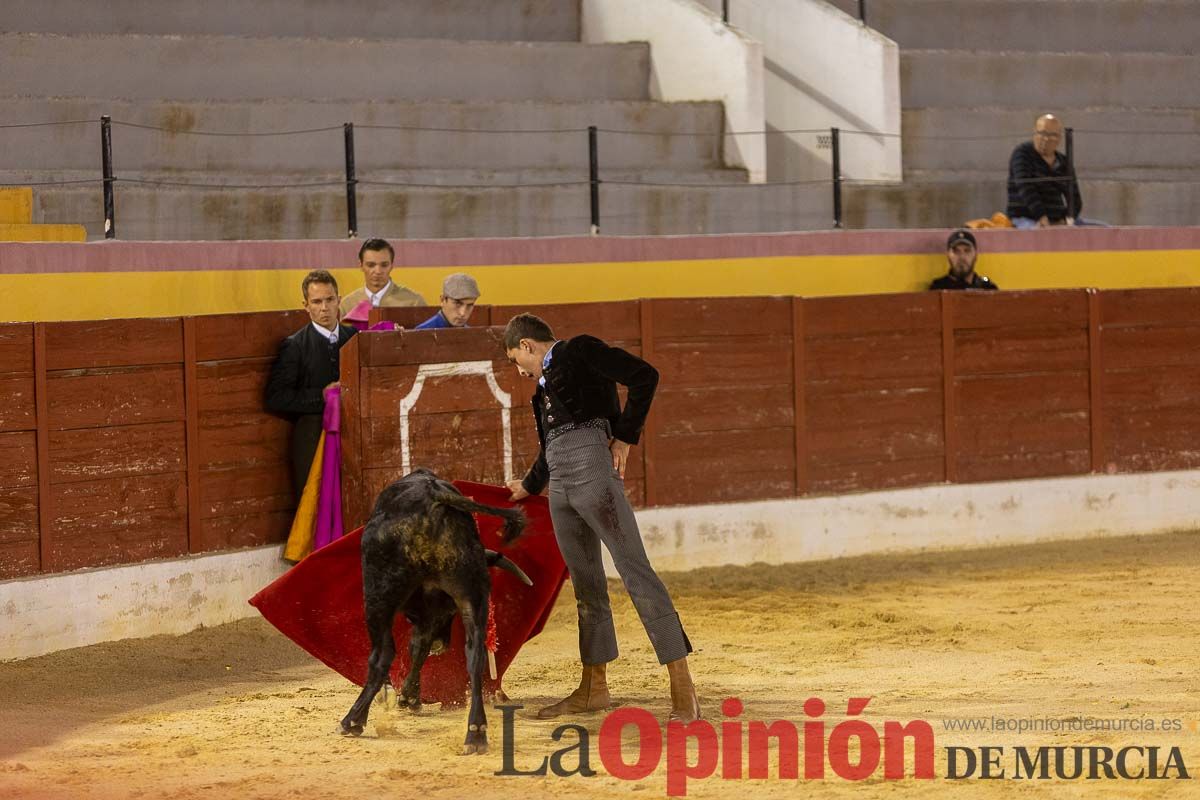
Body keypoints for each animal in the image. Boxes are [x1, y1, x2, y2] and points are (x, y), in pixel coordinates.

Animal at [338, 465, 525, 753]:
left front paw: (404, 697)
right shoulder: (433, 613)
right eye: (449, 614)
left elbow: (412, 647)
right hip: (471, 594)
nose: (442, 643)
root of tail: (435, 498)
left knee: (382, 654)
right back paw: (475, 732)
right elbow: (419, 647)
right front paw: (410, 697)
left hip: (378, 594)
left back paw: (353, 720)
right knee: (475, 657)